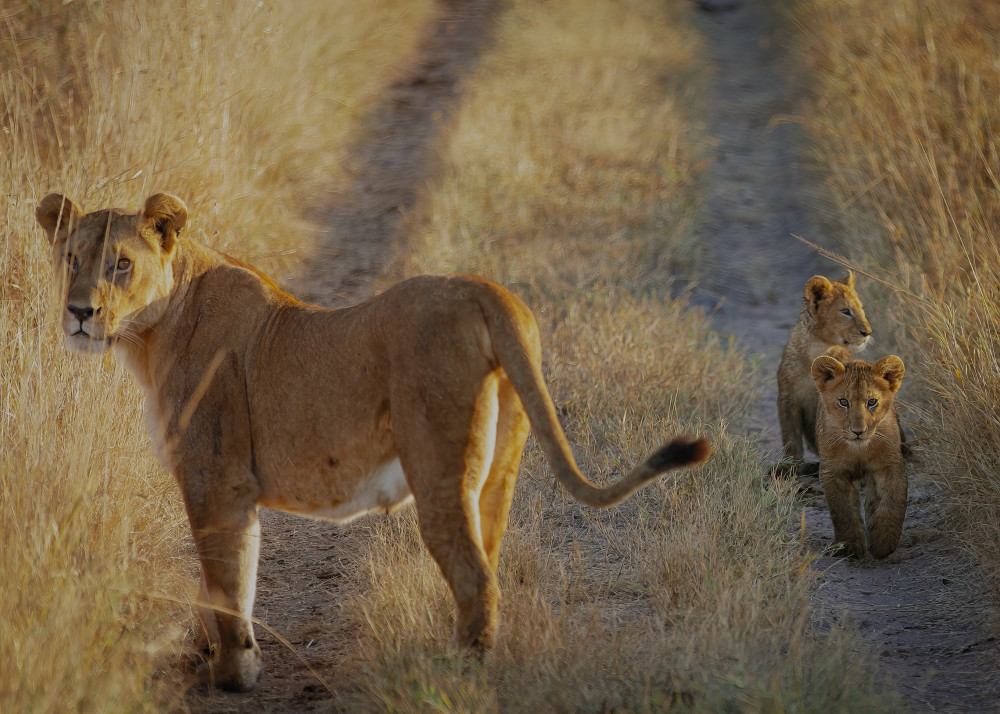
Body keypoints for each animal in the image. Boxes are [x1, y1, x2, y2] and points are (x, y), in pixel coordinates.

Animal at [36, 192, 710, 691]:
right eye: (71, 257)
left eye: (121, 263)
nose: (79, 313)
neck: (151, 337)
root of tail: (482, 288)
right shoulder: (231, 491)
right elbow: (229, 581)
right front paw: (225, 662)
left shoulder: (213, 479)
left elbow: (225, 586)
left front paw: (230, 675)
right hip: (497, 470)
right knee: (489, 564)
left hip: (438, 470)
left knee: (474, 576)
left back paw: (456, 677)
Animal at [776, 272, 871, 472]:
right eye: (845, 311)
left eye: (861, 308)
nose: (867, 332)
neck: (819, 349)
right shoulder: (787, 398)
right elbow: (791, 438)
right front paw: (790, 466)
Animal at [811, 350, 907, 559]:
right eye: (843, 402)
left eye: (872, 402)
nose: (858, 431)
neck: (859, 449)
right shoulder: (834, 471)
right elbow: (843, 511)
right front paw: (850, 547)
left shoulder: (889, 465)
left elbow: (892, 502)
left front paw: (883, 542)